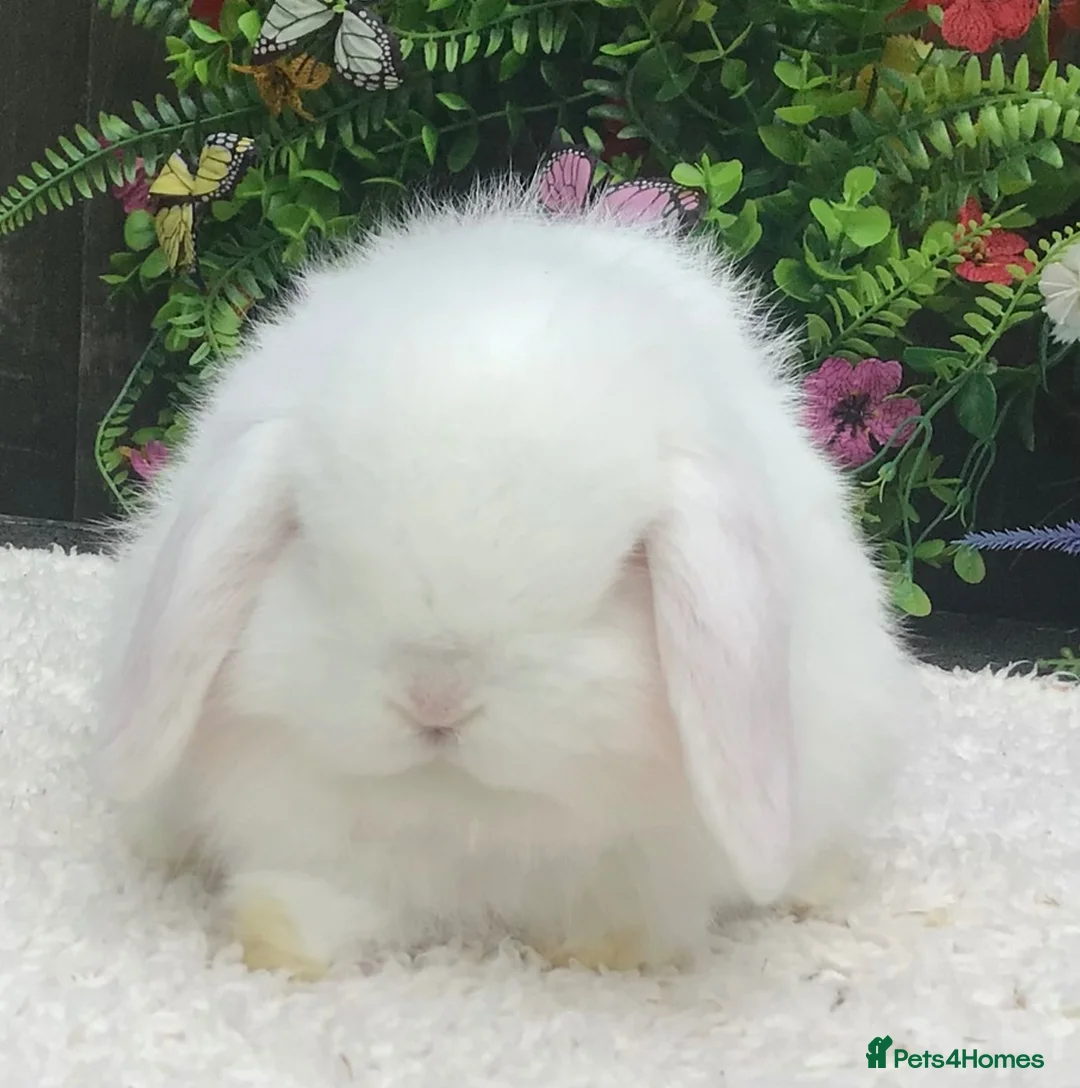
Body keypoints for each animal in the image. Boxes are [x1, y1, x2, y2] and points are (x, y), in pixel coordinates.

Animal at [94, 177, 923, 979]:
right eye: (311, 541)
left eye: (622, 568)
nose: (435, 699)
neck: (465, 818)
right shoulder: (315, 843)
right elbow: (314, 899)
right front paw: (276, 948)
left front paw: (602, 957)